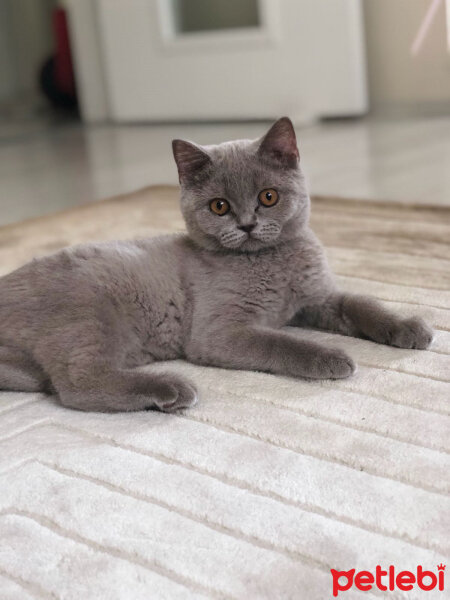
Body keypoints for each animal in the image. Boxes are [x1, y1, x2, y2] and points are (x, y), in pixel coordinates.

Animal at [0, 119, 436, 414]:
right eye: (219, 206)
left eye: (268, 196)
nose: (246, 224)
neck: (271, 263)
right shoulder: (219, 331)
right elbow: (278, 341)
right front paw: (330, 357)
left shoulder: (317, 297)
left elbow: (362, 304)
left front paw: (408, 327)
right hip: (90, 314)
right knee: (76, 384)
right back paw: (172, 388)